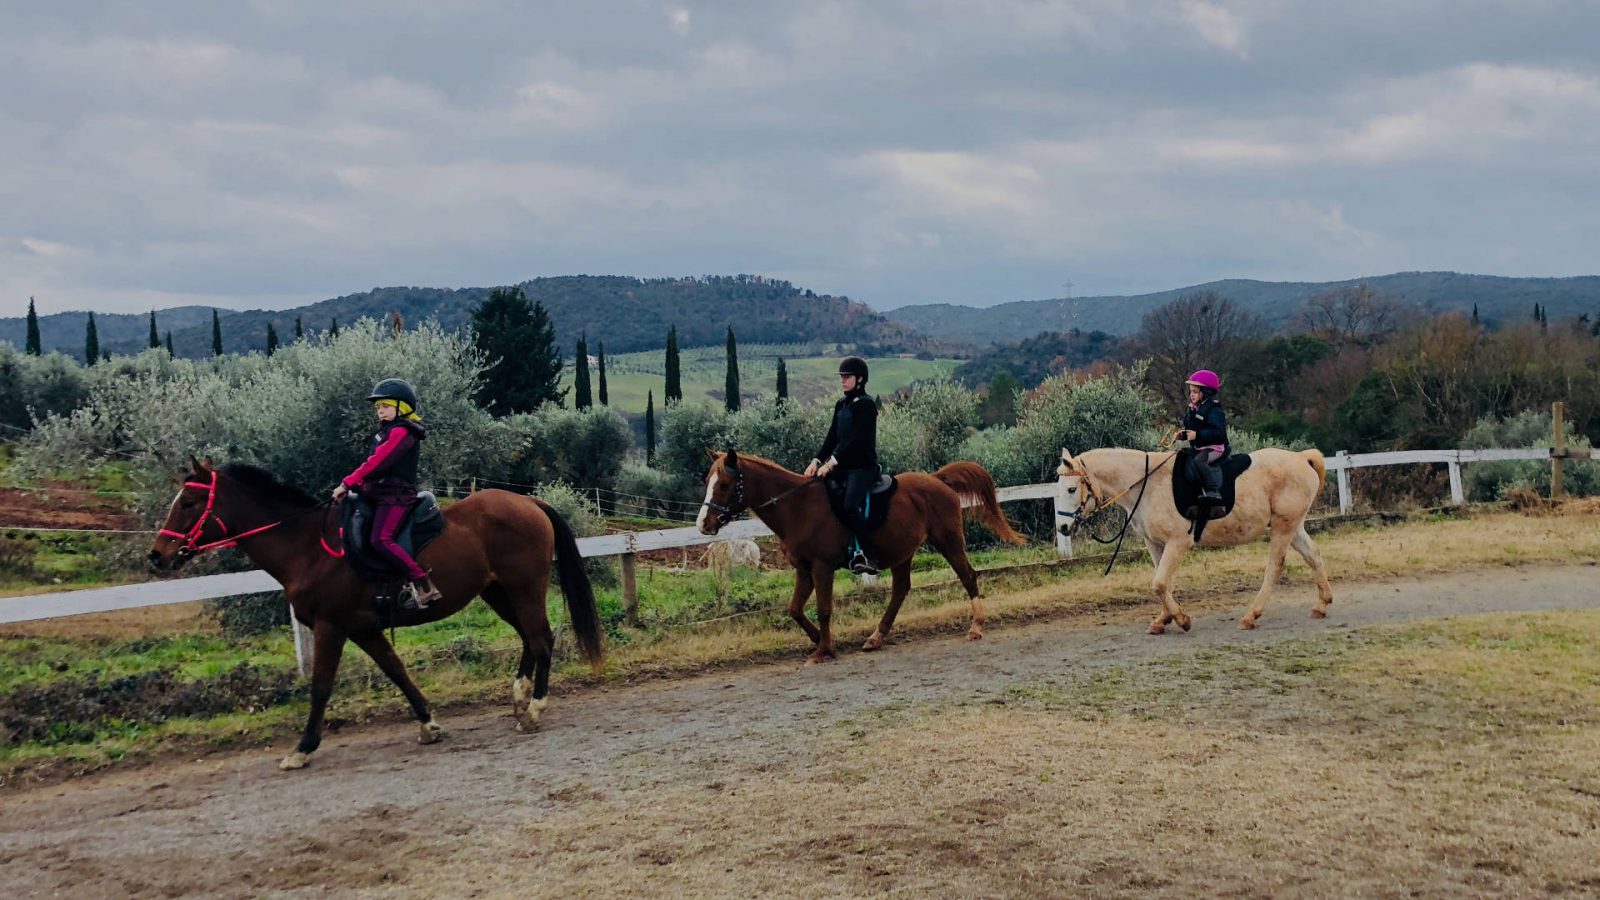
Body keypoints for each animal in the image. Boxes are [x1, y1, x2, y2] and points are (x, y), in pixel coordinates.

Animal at [148, 458, 601, 768]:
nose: (157, 556)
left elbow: (321, 687)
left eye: (189, 502)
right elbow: (397, 671)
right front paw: (428, 724)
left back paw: (535, 709)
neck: (307, 548)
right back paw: (520, 699)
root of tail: (529, 501)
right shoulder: (363, 629)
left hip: (524, 588)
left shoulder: (330, 627)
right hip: (497, 592)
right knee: (528, 637)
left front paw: (303, 748)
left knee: (540, 639)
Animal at [697, 448, 1024, 659]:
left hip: (948, 541)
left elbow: (824, 608)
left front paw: (823, 650)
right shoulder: (804, 569)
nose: (704, 524)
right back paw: (876, 637)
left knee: (968, 576)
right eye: (707, 482)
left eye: (724, 484)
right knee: (900, 590)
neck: (798, 507)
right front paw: (820, 641)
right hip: (902, 552)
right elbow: (795, 609)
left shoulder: (821, 567)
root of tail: (937, 479)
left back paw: (976, 627)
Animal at [1056, 445, 1331, 630]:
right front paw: (1163, 619)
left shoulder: (1178, 542)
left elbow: (1159, 583)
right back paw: (1322, 604)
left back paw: (1251, 615)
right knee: (1314, 556)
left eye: (1071, 489)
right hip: (1292, 526)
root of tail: (1301, 458)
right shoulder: (1154, 543)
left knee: (1275, 567)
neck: (1148, 484)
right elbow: (1162, 582)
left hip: (1283, 527)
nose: (1063, 527)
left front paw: (1181, 619)